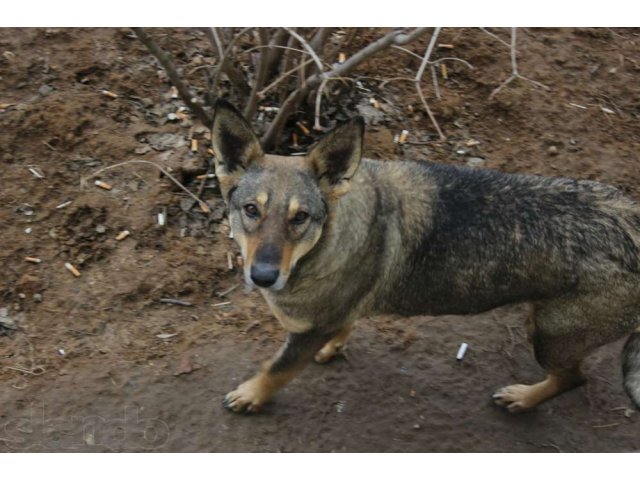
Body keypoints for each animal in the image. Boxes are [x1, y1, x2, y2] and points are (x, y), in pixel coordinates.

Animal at [211, 100, 640, 412]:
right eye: (251, 210)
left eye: (300, 217)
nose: (263, 277)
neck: (332, 235)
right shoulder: (336, 313)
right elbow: (344, 325)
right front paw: (335, 347)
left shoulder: (310, 330)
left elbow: (275, 370)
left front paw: (252, 395)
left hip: (550, 336)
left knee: (574, 379)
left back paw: (523, 398)